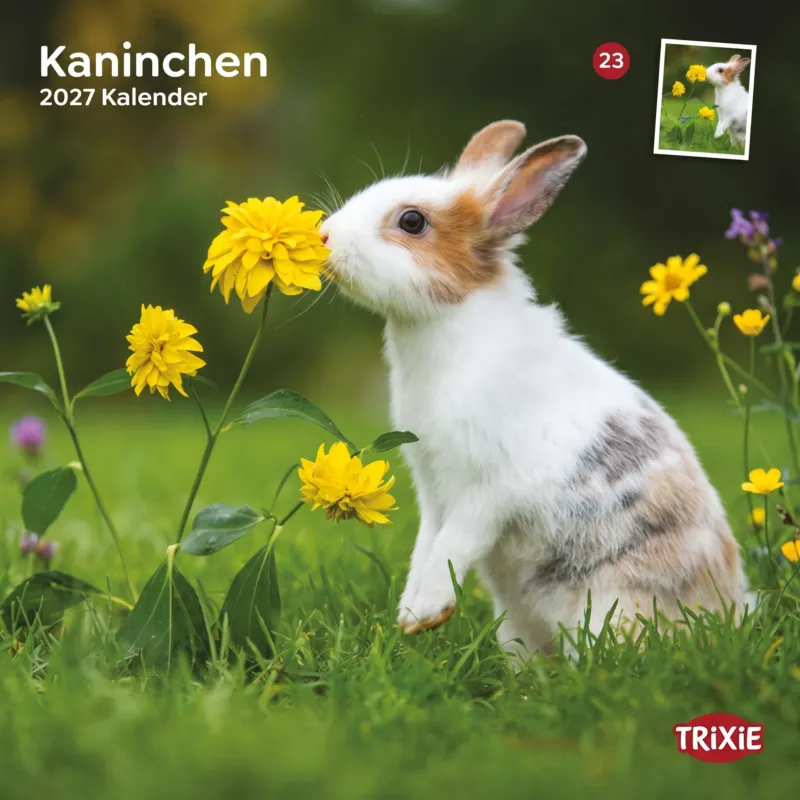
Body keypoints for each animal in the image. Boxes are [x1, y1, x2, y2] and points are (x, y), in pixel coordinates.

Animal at [319, 120, 746, 657]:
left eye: (412, 221)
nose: (324, 236)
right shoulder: (432, 488)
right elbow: (426, 545)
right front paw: (409, 615)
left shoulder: (490, 488)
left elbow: (453, 544)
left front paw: (424, 613)